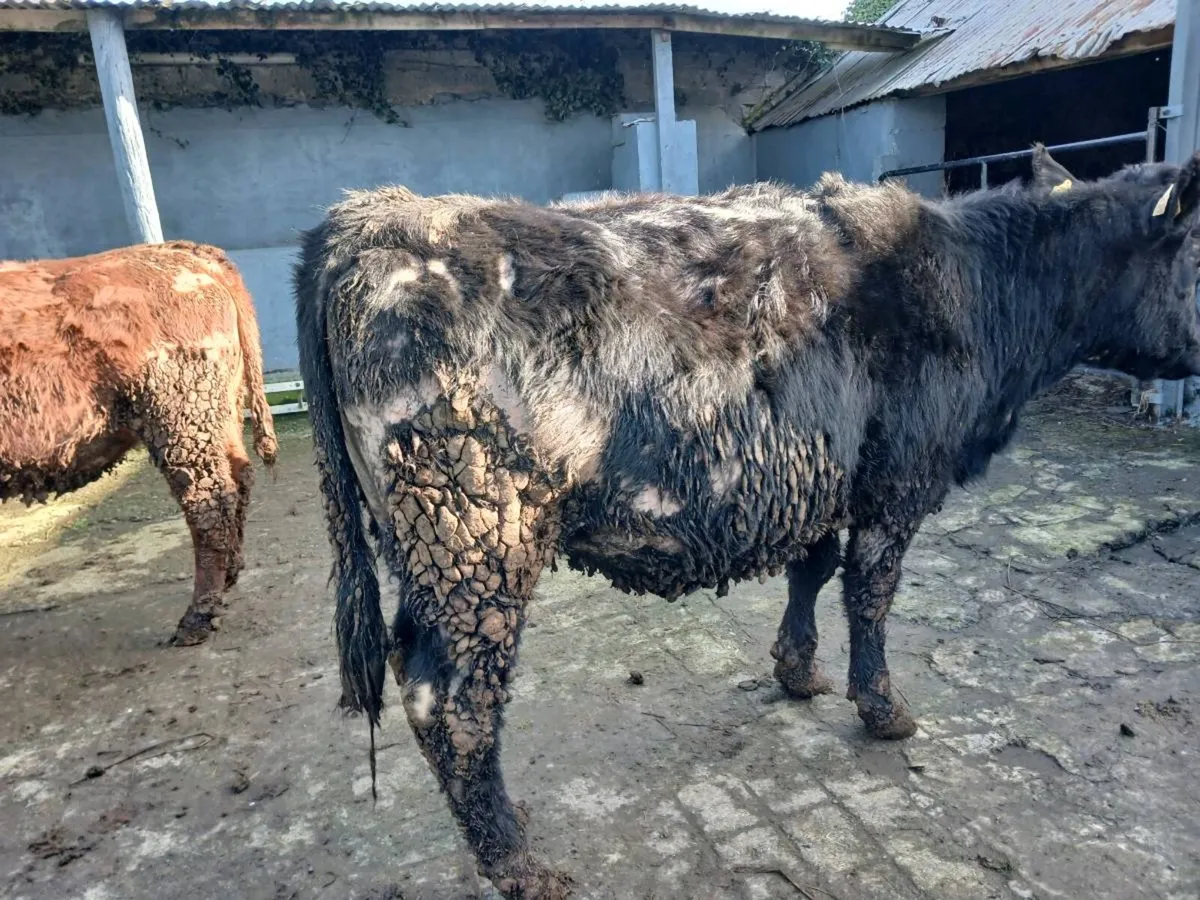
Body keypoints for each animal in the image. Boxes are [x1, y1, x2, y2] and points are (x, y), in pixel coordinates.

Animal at [0, 241, 278, 646]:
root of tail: (181, 253)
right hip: (218, 413)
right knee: (237, 480)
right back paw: (227, 577)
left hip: (180, 421)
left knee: (209, 504)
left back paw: (197, 618)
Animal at [293, 147, 1200, 898]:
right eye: (1197, 249)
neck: (981, 286)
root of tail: (369, 216)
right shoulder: (897, 480)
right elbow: (870, 594)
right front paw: (883, 709)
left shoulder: (824, 473)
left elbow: (814, 570)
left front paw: (797, 670)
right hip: (476, 533)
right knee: (450, 699)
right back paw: (517, 864)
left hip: (427, 544)